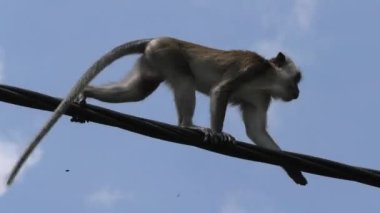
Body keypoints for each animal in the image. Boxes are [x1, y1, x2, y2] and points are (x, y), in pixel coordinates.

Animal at [7, 37, 308, 186]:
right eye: (297, 79)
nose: (297, 92)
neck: (266, 79)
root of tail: (157, 38)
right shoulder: (251, 69)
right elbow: (220, 91)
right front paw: (219, 134)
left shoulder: (261, 97)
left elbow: (256, 131)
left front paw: (292, 169)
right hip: (168, 54)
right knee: (185, 80)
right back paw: (188, 125)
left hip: (153, 61)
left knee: (137, 90)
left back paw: (87, 93)